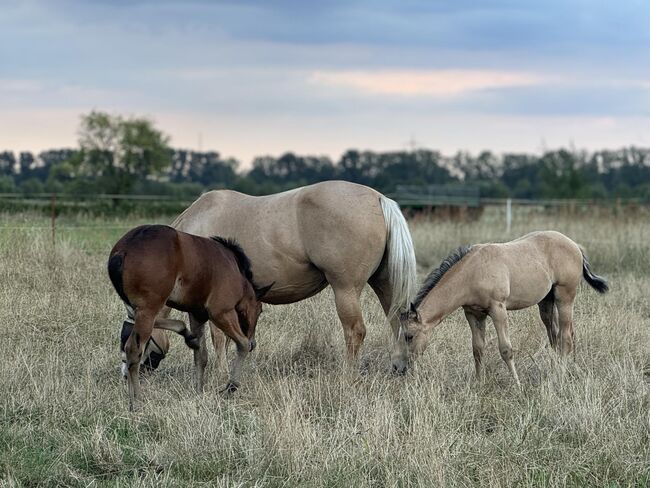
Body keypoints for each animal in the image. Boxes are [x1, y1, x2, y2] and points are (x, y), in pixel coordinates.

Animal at [107, 224, 270, 408]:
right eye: (260, 310)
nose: (253, 342)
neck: (234, 269)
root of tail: (123, 251)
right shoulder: (220, 312)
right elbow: (241, 344)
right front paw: (230, 387)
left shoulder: (196, 314)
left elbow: (201, 355)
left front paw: (199, 390)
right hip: (148, 309)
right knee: (133, 350)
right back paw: (136, 402)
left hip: (139, 308)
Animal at [162, 179, 416, 370]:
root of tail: (378, 198)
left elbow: (219, 337)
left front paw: (221, 373)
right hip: (384, 284)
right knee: (398, 322)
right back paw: (399, 366)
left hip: (346, 289)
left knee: (355, 331)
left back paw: (347, 375)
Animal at [390, 231, 608, 384]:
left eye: (409, 336)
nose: (397, 367)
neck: (473, 272)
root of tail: (575, 246)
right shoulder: (473, 313)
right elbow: (477, 349)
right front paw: (479, 383)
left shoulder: (498, 310)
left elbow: (505, 349)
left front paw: (517, 385)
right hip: (546, 302)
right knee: (559, 336)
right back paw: (568, 369)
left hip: (565, 297)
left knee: (565, 337)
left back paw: (560, 375)